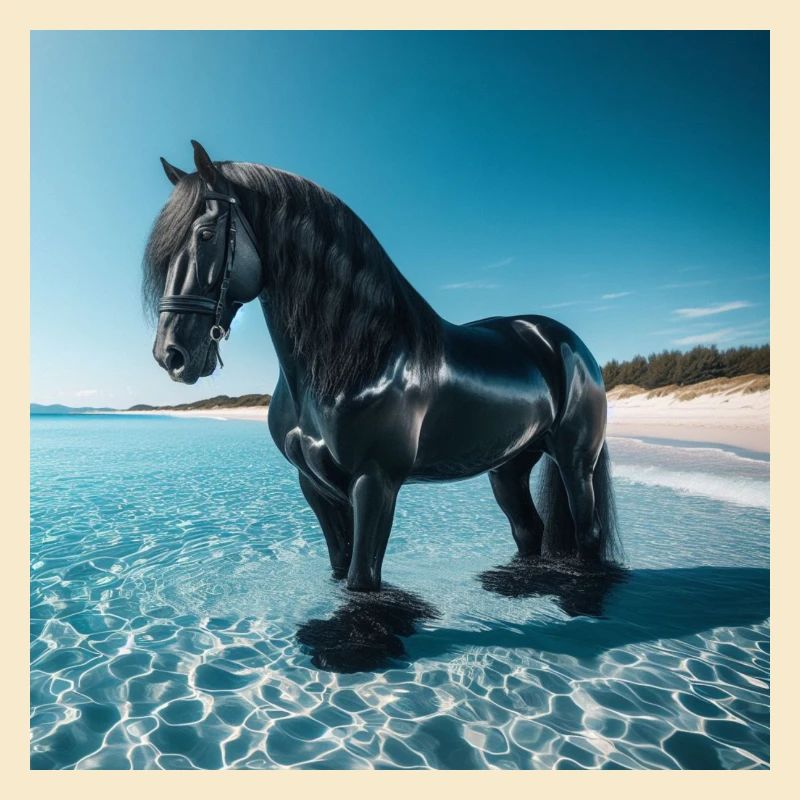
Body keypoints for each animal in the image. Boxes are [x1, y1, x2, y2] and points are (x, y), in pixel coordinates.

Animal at [144, 140, 621, 592]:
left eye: (205, 234)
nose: (171, 354)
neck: (354, 357)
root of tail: (565, 342)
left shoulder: (375, 483)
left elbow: (362, 580)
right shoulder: (314, 486)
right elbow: (340, 568)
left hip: (575, 463)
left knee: (587, 533)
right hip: (508, 466)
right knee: (528, 531)